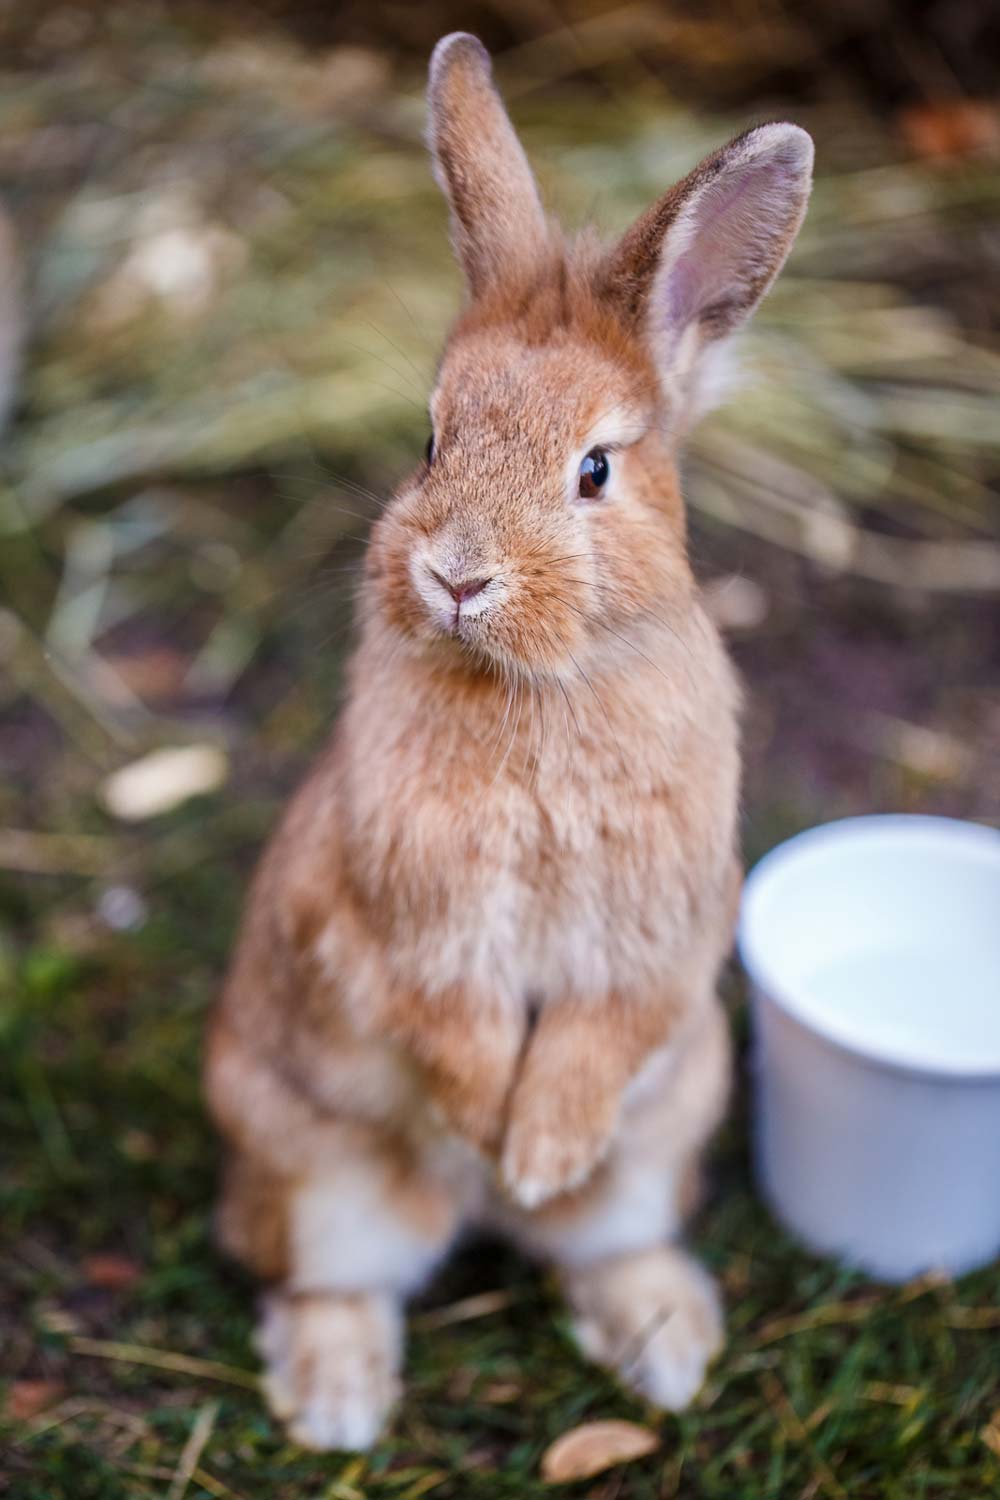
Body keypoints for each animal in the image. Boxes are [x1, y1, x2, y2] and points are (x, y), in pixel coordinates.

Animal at [205, 31, 813, 1452]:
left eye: (594, 470)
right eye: (429, 438)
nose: (455, 577)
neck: (537, 686)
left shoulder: (659, 936)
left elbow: (595, 1033)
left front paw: (535, 1156)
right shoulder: (406, 926)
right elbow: (455, 1029)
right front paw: (498, 1135)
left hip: (659, 1147)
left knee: (601, 1244)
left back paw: (653, 1338)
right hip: (315, 1172)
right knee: (322, 1279)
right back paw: (340, 1401)